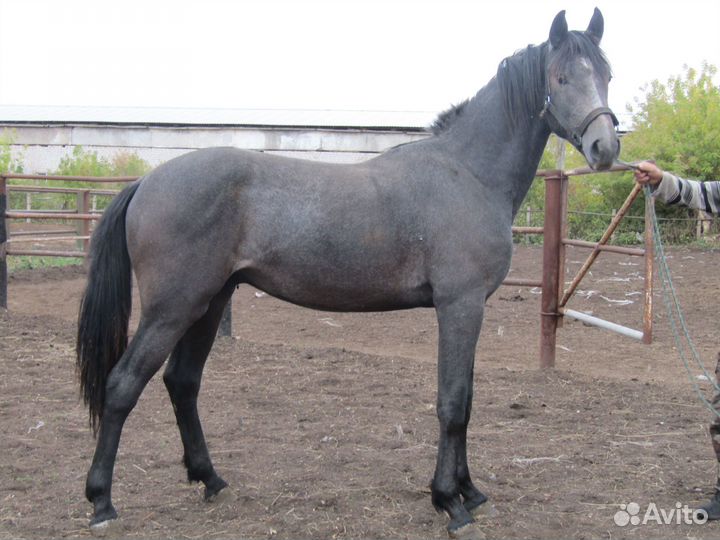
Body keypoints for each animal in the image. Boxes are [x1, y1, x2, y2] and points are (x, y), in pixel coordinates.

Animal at [76, 8, 619, 539]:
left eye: (607, 75)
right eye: (561, 77)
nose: (605, 147)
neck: (466, 172)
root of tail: (147, 181)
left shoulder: (470, 308)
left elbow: (466, 401)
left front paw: (469, 491)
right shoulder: (459, 305)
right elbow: (452, 402)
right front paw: (449, 502)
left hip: (209, 303)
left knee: (183, 382)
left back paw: (210, 479)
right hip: (173, 308)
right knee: (123, 385)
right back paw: (102, 501)